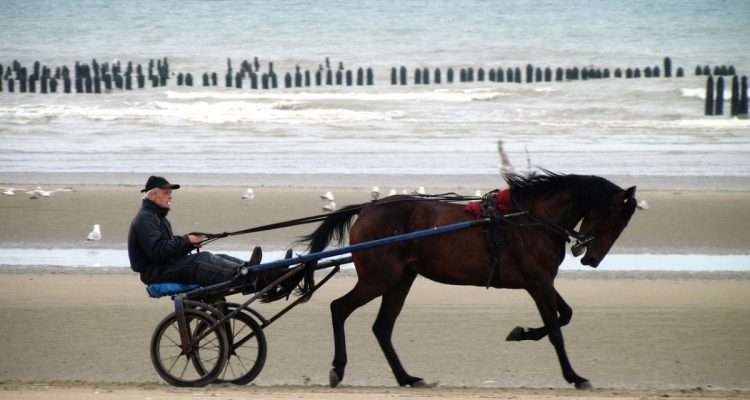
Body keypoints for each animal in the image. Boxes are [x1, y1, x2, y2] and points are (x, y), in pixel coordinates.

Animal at [300, 171, 640, 388]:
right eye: (617, 220)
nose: (591, 259)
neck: (528, 220)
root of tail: (368, 208)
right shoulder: (538, 282)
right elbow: (556, 330)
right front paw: (575, 377)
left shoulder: (541, 280)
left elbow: (565, 315)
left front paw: (521, 332)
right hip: (379, 278)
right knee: (339, 308)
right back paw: (339, 368)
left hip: (401, 279)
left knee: (382, 327)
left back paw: (407, 378)